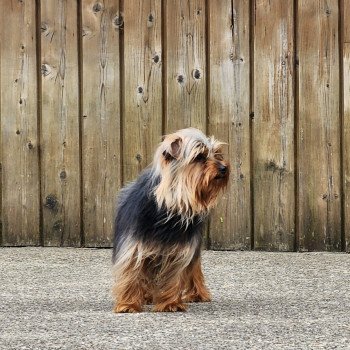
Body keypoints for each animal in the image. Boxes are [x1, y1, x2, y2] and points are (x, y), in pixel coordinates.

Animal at [112, 128, 230, 312]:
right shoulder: (133, 245)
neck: (170, 204)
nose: (224, 167)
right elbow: (131, 272)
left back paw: (198, 294)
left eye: (217, 154)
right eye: (199, 157)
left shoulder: (181, 249)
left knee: (194, 268)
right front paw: (128, 304)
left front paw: (170, 303)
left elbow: (174, 276)